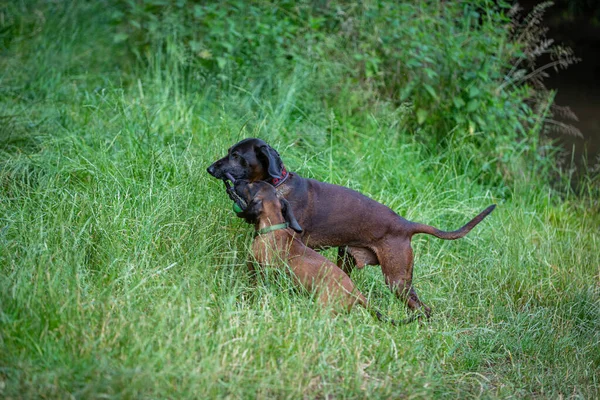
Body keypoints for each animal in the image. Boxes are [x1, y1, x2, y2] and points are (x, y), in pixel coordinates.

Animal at [209, 138, 494, 318]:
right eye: (229, 150)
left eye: (237, 156)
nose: (210, 168)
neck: (278, 184)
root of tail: (405, 224)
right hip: (350, 260)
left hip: (396, 280)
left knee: (422, 308)